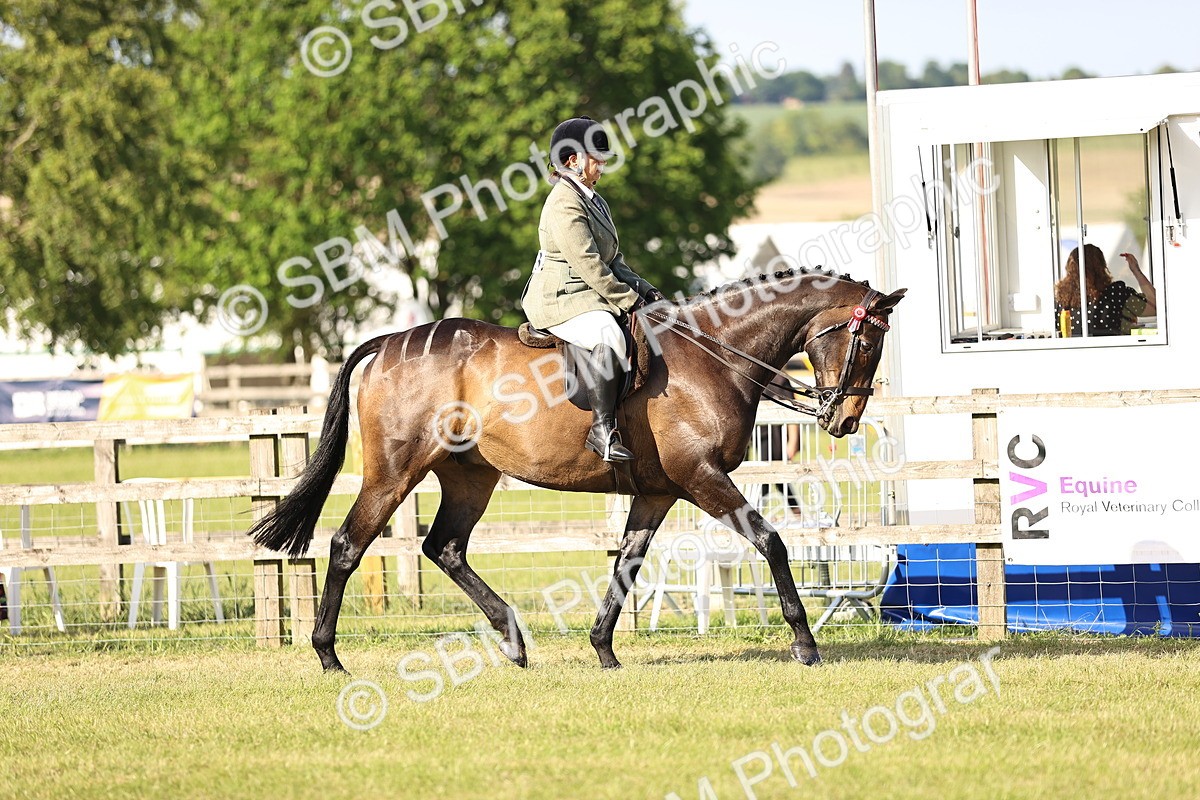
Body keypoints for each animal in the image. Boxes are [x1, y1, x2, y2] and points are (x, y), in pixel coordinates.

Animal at [249, 268, 906, 672]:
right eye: (867, 345)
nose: (845, 419)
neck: (713, 355)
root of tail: (387, 341)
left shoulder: (658, 492)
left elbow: (627, 563)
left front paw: (603, 649)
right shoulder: (701, 479)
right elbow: (771, 542)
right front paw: (805, 644)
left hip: (470, 476)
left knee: (446, 548)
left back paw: (513, 640)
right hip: (394, 473)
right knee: (347, 544)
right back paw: (328, 655)